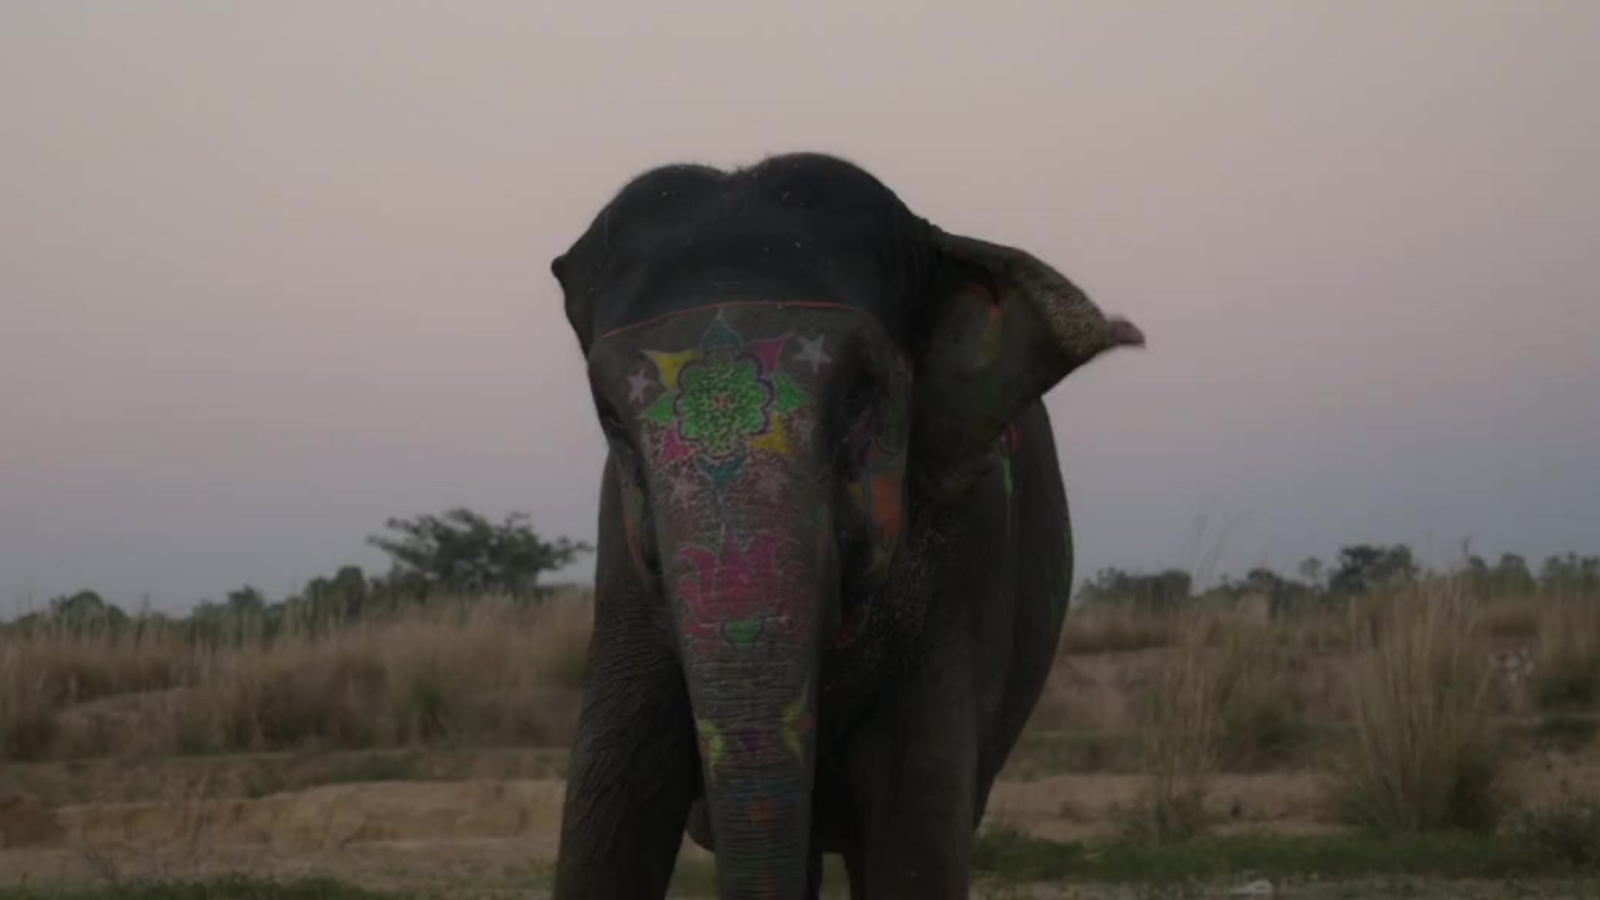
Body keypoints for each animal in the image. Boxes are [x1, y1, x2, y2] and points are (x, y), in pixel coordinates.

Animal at [547, 152, 1144, 900]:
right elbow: (605, 829)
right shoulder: (624, 562)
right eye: (610, 417)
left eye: (863, 393)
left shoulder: (971, 563)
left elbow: (914, 840)